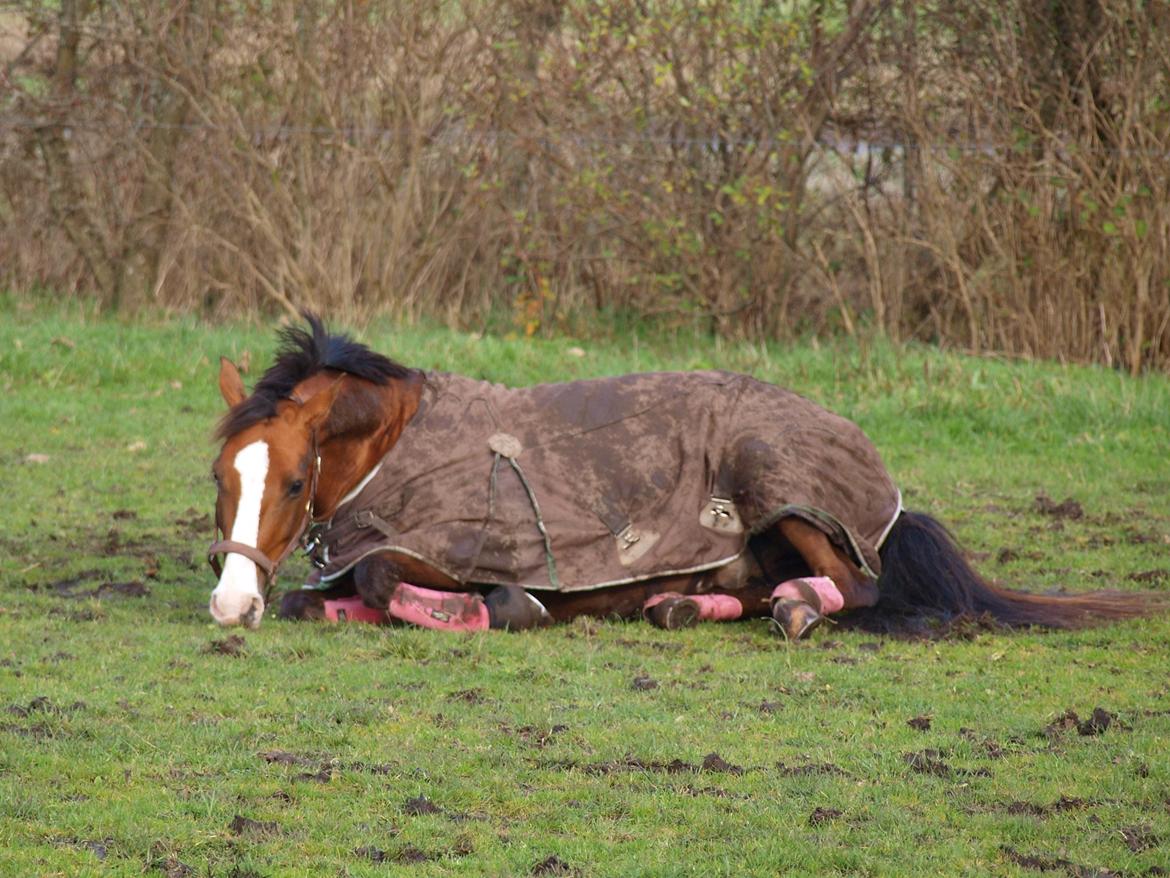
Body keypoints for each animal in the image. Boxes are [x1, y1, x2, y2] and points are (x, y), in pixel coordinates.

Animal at [208, 316, 1160, 641]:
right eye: (220, 478)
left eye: (290, 483)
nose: (227, 606)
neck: (398, 448)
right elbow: (317, 599)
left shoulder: (452, 549)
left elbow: (380, 575)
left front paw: (507, 608)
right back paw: (682, 605)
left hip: (776, 483)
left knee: (859, 584)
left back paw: (797, 609)